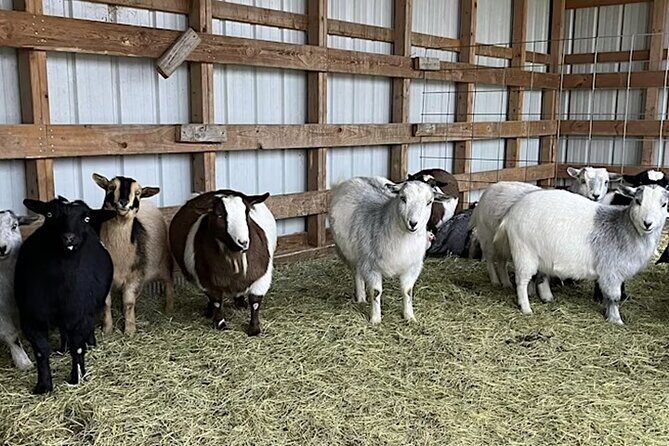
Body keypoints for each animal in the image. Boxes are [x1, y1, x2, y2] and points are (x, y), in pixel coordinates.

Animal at [15, 197, 114, 394]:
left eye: (86, 218)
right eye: (49, 214)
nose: (68, 237)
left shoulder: (84, 315)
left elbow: (78, 348)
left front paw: (77, 377)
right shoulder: (31, 318)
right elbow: (41, 351)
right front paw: (44, 386)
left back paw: (89, 343)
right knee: (63, 329)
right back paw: (63, 348)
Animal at [92, 174, 174, 335]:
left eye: (138, 193)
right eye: (111, 187)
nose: (124, 202)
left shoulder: (134, 275)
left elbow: (128, 303)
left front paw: (129, 330)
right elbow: (106, 304)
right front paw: (107, 329)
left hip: (163, 263)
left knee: (169, 282)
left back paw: (169, 308)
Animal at [170, 190, 277, 336]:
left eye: (247, 213)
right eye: (219, 214)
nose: (243, 242)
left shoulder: (262, 277)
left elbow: (255, 302)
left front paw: (254, 329)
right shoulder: (206, 280)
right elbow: (216, 302)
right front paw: (220, 324)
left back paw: (240, 303)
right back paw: (210, 312)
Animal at [329, 177, 446, 324]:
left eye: (429, 202)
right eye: (403, 198)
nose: (413, 223)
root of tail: (356, 178)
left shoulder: (412, 267)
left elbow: (407, 291)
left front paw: (409, 316)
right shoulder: (370, 265)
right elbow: (376, 292)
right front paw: (375, 319)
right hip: (349, 254)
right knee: (357, 274)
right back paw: (361, 298)